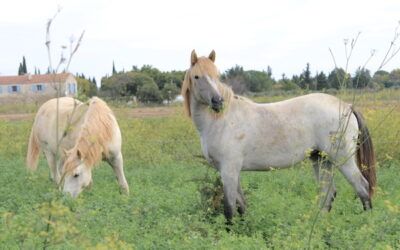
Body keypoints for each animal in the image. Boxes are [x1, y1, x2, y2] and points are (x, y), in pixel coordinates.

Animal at [183, 49, 376, 222]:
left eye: (217, 76)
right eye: (197, 77)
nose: (218, 102)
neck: (221, 120)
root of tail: (347, 106)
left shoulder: (229, 169)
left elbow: (229, 208)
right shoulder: (231, 171)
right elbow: (241, 205)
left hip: (342, 158)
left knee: (362, 187)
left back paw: (367, 223)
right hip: (321, 159)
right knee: (328, 194)